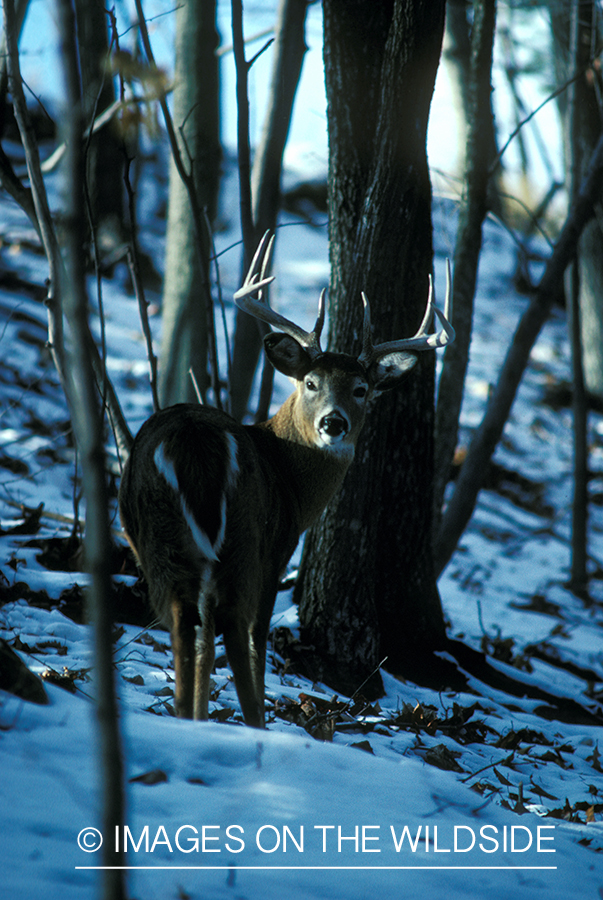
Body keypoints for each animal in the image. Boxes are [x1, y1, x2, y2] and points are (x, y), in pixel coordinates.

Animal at [119, 236, 452, 728]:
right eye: (311, 382)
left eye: (361, 389)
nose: (334, 423)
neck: (290, 478)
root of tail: (193, 442)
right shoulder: (278, 547)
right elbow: (255, 635)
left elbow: (202, 639)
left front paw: (199, 714)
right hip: (244, 534)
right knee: (238, 625)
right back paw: (255, 721)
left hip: (155, 531)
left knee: (183, 619)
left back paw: (185, 715)